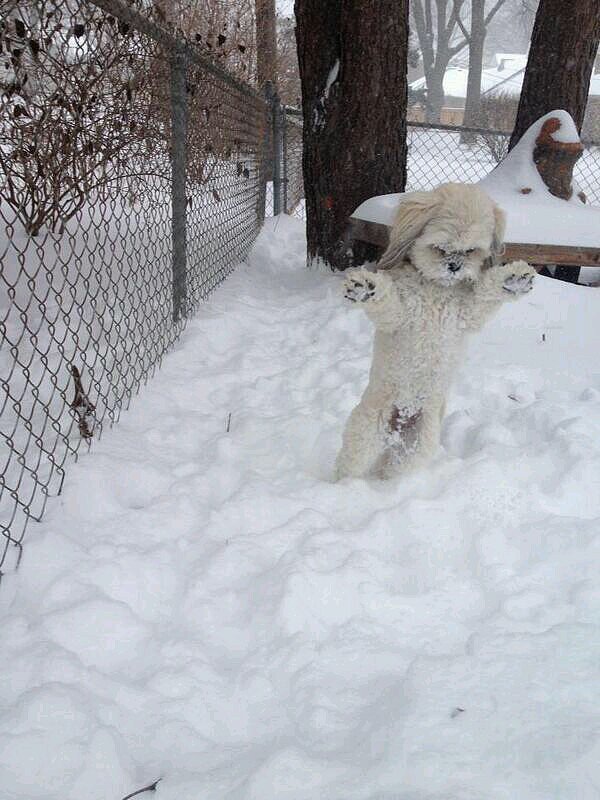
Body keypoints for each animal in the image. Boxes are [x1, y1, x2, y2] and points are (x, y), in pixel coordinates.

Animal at [336, 183, 536, 482]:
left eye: (471, 251)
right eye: (439, 248)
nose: (454, 267)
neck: (437, 288)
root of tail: (399, 422)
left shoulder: (468, 314)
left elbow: (487, 294)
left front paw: (513, 280)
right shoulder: (400, 315)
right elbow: (386, 302)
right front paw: (365, 288)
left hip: (416, 446)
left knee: (395, 468)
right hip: (365, 432)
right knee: (350, 464)